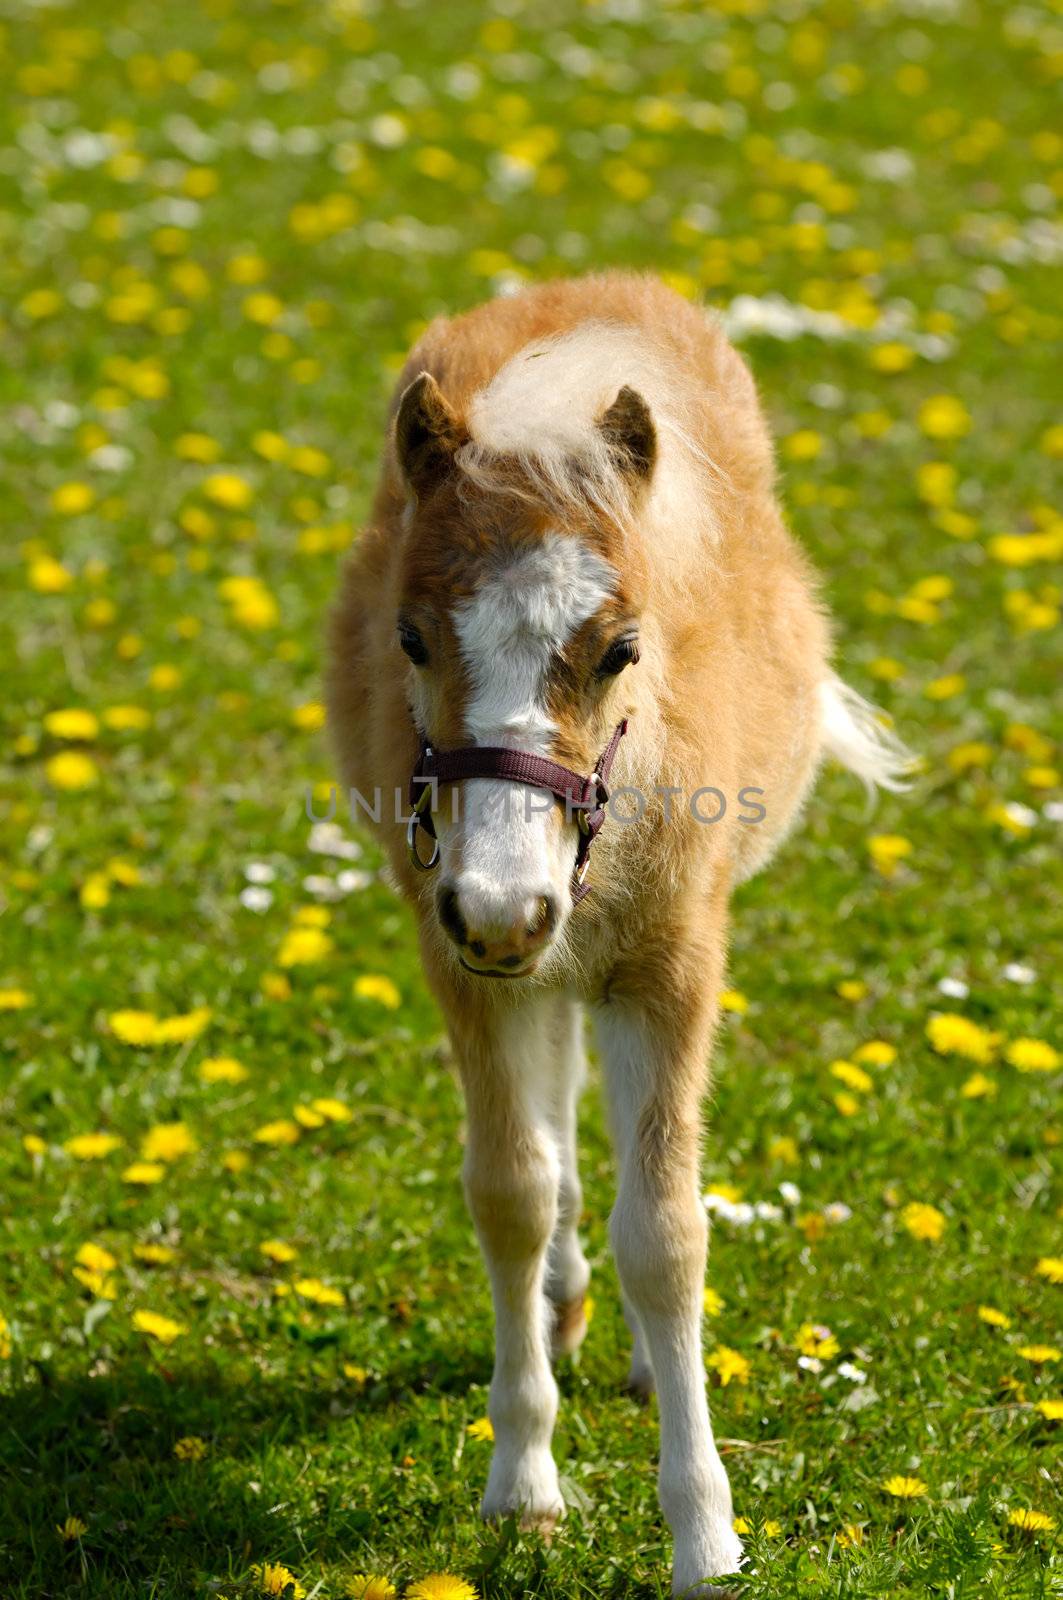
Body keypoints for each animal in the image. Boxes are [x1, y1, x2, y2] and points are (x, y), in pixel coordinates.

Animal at [328, 272, 909, 1587]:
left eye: (620, 650)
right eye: (408, 638)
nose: (504, 904)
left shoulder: (670, 962)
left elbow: (669, 1232)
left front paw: (705, 1533)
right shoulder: (460, 954)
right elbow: (509, 1187)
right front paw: (524, 1483)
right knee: (550, 1111)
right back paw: (559, 1304)